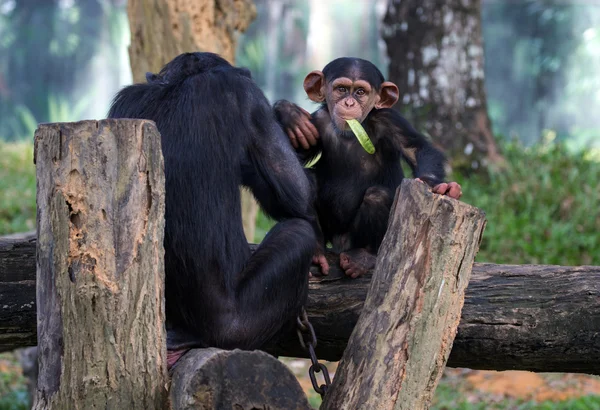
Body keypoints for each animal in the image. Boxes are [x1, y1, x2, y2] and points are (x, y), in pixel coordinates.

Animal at [109, 52, 314, 366]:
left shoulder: (122, 103)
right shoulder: (248, 97)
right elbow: (297, 195)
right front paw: (286, 116)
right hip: (237, 327)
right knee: (299, 234)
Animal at [274, 56, 462, 278]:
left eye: (360, 92)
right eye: (341, 89)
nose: (349, 103)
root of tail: (340, 244)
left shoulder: (389, 119)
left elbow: (415, 148)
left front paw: (441, 187)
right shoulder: (316, 123)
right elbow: (288, 159)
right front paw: (289, 114)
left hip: (357, 238)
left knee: (376, 196)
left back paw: (364, 257)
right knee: (308, 182)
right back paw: (317, 250)